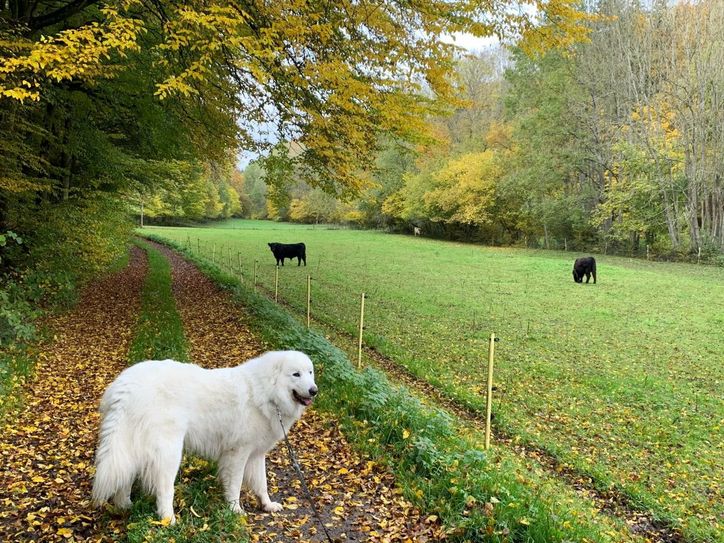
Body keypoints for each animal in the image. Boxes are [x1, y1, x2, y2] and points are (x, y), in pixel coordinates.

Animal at [91, 350, 316, 524]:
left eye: (310, 372)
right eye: (295, 374)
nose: (314, 390)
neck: (268, 392)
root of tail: (125, 387)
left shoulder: (256, 454)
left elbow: (262, 484)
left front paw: (267, 505)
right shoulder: (238, 453)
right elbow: (235, 484)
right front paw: (235, 510)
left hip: (132, 445)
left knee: (125, 476)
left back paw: (125, 506)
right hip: (169, 452)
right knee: (164, 489)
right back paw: (168, 520)